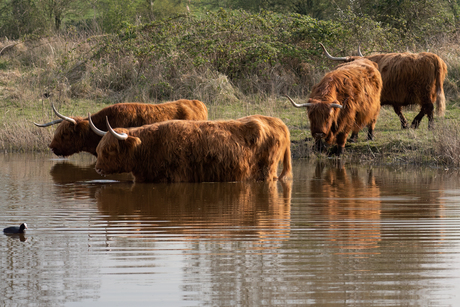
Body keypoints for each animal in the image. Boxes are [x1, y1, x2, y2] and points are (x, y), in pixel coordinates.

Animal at [89, 115, 292, 183]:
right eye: (99, 150)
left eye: (109, 150)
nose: (97, 168)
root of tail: (279, 123)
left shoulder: (177, 178)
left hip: (266, 171)